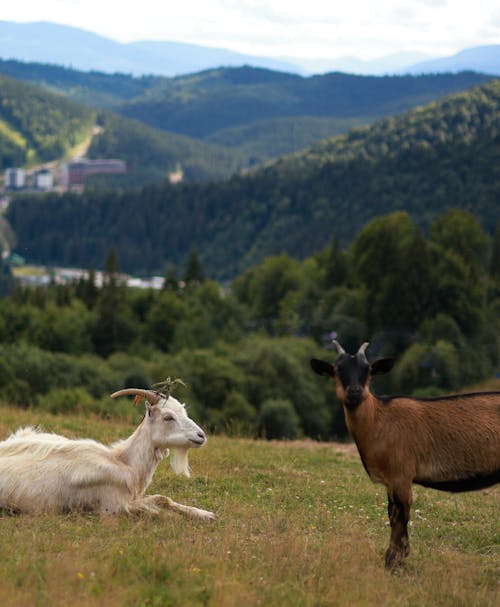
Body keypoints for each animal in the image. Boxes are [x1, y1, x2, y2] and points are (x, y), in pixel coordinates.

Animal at [0, 388, 215, 520]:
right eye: (168, 417)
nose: (201, 435)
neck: (123, 462)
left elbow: (163, 499)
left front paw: (205, 514)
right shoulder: (113, 507)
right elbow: (154, 507)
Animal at [310, 342, 498, 568]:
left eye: (368, 370)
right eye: (338, 370)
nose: (355, 392)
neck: (378, 421)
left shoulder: (401, 475)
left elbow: (400, 517)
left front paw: (394, 561)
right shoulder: (390, 480)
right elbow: (391, 513)